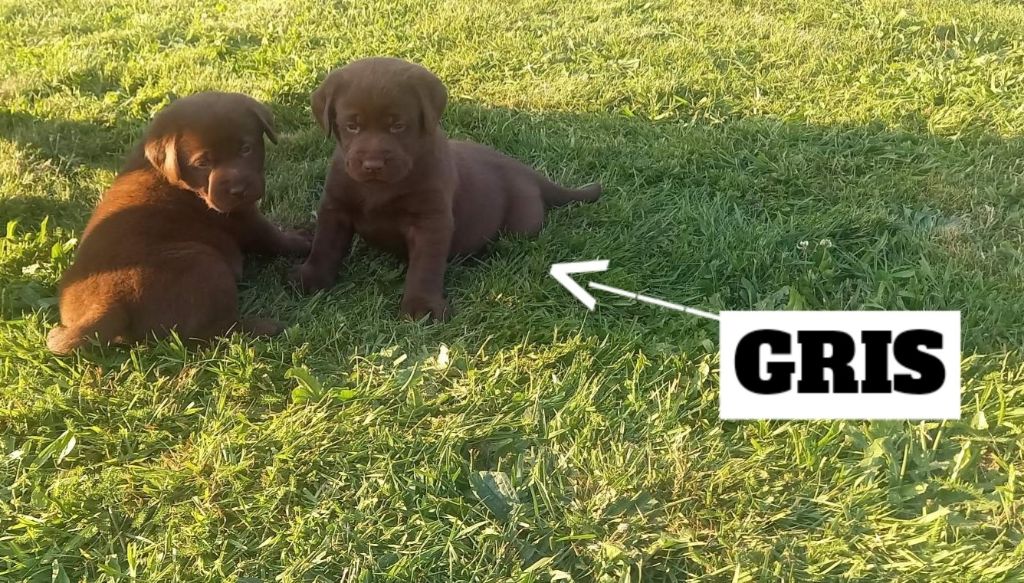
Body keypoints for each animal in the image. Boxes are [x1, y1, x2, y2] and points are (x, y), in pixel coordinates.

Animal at [47, 92, 310, 354]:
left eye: (246, 149)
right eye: (202, 163)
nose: (238, 190)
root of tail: (110, 304)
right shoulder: (244, 220)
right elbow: (276, 238)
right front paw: (303, 239)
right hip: (205, 263)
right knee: (214, 332)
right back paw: (266, 327)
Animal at [296, 57, 600, 320]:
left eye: (398, 126)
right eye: (352, 126)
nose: (373, 164)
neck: (379, 188)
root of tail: (526, 170)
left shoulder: (431, 221)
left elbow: (425, 267)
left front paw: (422, 306)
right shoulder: (335, 208)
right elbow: (325, 245)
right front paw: (311, 278)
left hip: (520, 224)